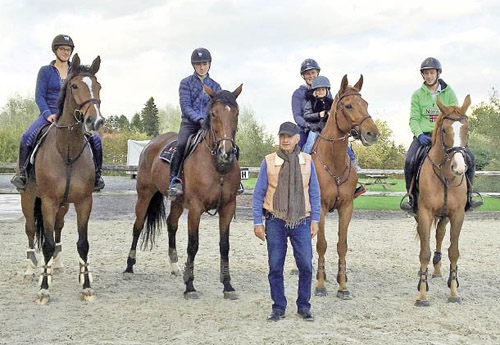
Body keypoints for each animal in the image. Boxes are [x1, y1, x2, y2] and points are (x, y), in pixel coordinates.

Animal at [20, 53, 104, 304]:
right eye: (74, 86)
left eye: (98, 86)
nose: (95, 121)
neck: (66, 149)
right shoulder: (47, 202)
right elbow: (46, 244)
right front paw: (43, 289)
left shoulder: (84, 201)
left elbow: (83, 244)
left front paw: (86, 285)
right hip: (29, 199)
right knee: (30, 230)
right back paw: (31, 269)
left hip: (64, 205)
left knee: (58, 227)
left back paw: (56, 266)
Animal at [124, 83, 243, 298]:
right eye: (213, 113)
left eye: (236, 113)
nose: (226, 153)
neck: (217, 166)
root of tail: (150, 144)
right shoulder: (195, 209)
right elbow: (193, 245)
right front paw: (190, 285)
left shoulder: (228, 207)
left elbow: (224, 246)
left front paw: (228, 285)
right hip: (144, 195)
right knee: (137, 226)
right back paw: (129, 267)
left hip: (178, 202)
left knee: (171, 224)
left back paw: (174, 266)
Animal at [308, 75, 378, 298]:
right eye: (348, 105)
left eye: (366, 104)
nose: (372, 133)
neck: (333, 164)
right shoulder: (320, 208)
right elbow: (321, 244)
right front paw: (320, 285)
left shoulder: (346, 208)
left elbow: (342, 245)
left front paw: (343, 285)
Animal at [416, 94, 470, 306]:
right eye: (445, 130)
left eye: (466, 129)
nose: (459, 167)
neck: (446, 175)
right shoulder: (424, 213)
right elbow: (424, 251)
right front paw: (422, 295)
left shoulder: (457, 215)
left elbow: (453, 251)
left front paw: (454, 292)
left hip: (445, 216)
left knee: (439, 235)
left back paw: (438, 270)